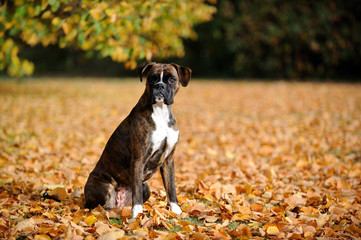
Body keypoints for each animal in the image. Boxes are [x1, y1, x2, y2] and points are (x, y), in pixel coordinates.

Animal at [84, 61, 191, 218]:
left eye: (172, 79)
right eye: (152, 78)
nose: (160, 86)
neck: (160, 112)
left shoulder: (168, 160)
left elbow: (171, 187)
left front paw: (176, 210)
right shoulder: (138, 159)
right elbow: (137, 193)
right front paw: (137, 214)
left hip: (146, 187)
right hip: (104, 185)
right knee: (99, 207)